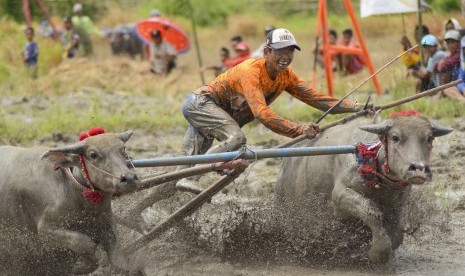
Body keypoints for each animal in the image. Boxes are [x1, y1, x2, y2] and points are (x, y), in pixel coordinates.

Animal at [0, 130, 143, 276]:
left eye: (123, 149)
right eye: (93, 155)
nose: (129, 178)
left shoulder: (106, 220)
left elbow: (116, 253)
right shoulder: (46, 229)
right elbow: (85, 244)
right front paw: (77, 268)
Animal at [276, 111, 454, 264]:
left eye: (430, 138)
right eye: (395, 137)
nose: (419, 169)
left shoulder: (399, 203)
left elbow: (397, 233)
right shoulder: (340, 196)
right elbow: (372, 213)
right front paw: (377, 253)